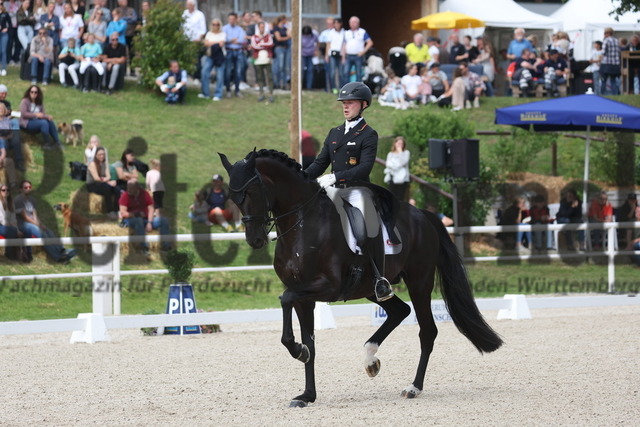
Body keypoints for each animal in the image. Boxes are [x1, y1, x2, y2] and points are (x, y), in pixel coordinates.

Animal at [221, 150, 504, 408]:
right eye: (233, 198)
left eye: (252, 192)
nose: (255, 239)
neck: (302, 225)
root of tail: (422, 215)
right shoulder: (304, 294)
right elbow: (309, 339)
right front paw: (307, 393)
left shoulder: (326, 286)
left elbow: (285, 300)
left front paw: (298, 351)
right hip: (371, 288)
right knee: (400, 311)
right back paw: (371, 360)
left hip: (419, 282)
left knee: (427, 331)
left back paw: (413, 387)